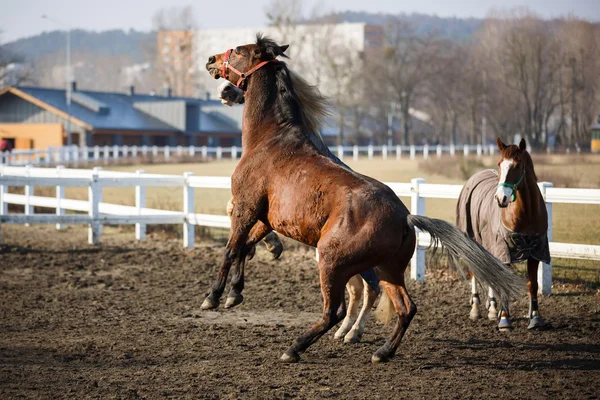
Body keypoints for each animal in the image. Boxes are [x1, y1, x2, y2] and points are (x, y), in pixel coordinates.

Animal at [202, 36, 520, 364]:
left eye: (239, 51)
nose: (211, 60)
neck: (271, 139)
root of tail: (405, 217)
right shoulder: (267, 218)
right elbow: (245, 247)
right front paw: (235, 293)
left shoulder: (246, 207)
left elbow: (231, 249)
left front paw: (213, 296)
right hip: (387, 269)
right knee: (405, 308)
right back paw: (382, 352)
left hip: (332, 262)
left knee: (336, 310)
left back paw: (298, 347)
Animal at [460, 138, 548, 332]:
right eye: (499, 163)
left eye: (517, 165)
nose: (501, 199)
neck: (526, 214)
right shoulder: (505, 250)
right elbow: (504, 284)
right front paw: (505, 319)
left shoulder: (535, 251)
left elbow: (533, 285)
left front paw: (535, 318)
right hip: (472, 240)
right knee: (474, 271)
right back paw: (476, 309)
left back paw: (493, 308)